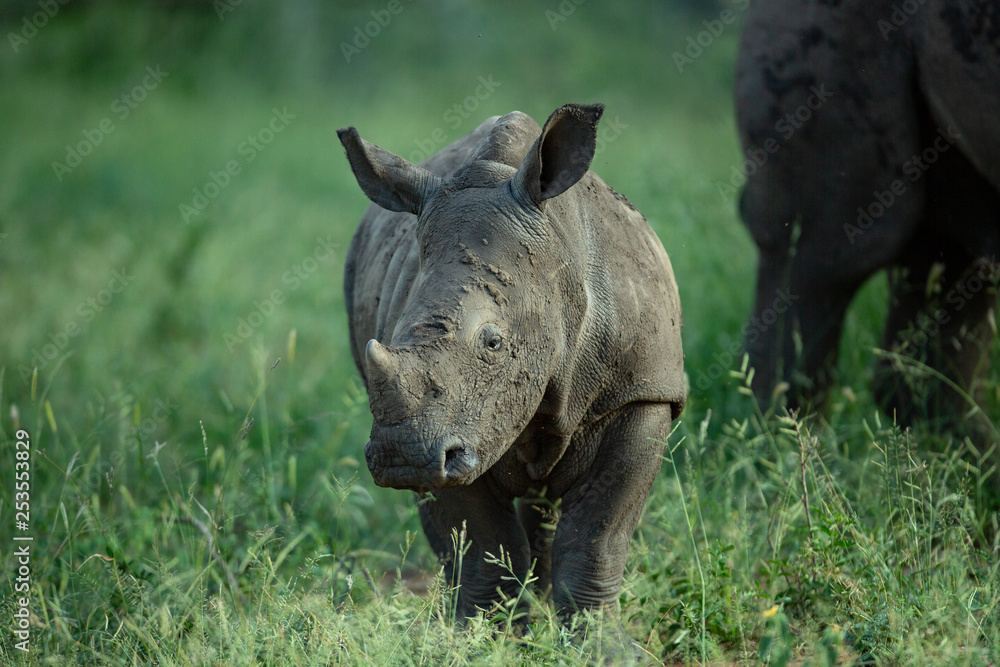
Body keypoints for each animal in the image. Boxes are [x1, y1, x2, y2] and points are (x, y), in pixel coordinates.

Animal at [337, 104, 685, 619]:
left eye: (494, 343)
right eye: (392, 334)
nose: (403, 456)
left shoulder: (640, 392)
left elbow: (597, 540)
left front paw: (594, 635)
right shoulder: (460, 426)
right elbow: (486, 550)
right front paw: (481, 631)